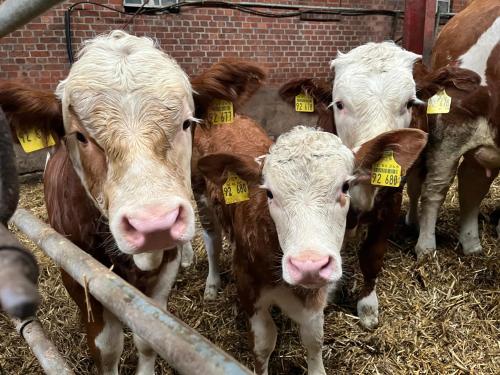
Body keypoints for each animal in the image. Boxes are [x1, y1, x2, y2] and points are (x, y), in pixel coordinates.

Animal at [0, 30, 266, 375]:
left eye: (186, 123)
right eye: (81, 136)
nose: (155, 224)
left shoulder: (164, 271)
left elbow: (148, 336)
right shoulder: (77, 274)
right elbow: (107, 347)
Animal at [194, 108, 426, 374]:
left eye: (345, 186)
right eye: (269, 193)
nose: (309, 266)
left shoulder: (316, 295)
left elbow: (314, 338)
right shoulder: (247, 285)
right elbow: (263, 344)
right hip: (201, 198)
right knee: (212, 242)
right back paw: (212, 285)